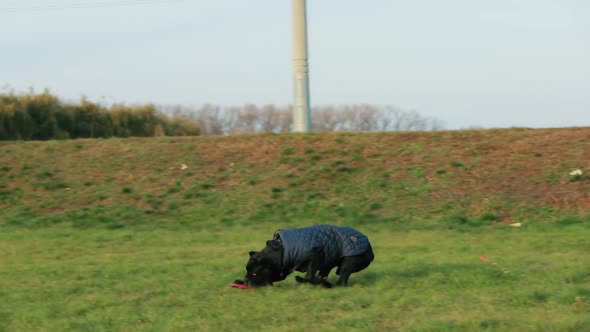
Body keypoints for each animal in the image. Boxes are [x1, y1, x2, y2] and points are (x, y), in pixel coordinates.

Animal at [236, 226, 374, 288]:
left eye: (254, 273)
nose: (246, 280)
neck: (280, 251)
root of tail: (369, 246)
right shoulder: (282, 270)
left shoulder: (316, 253)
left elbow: (309, 274)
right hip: (329, 263)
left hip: (348, 261)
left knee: (341, 280)